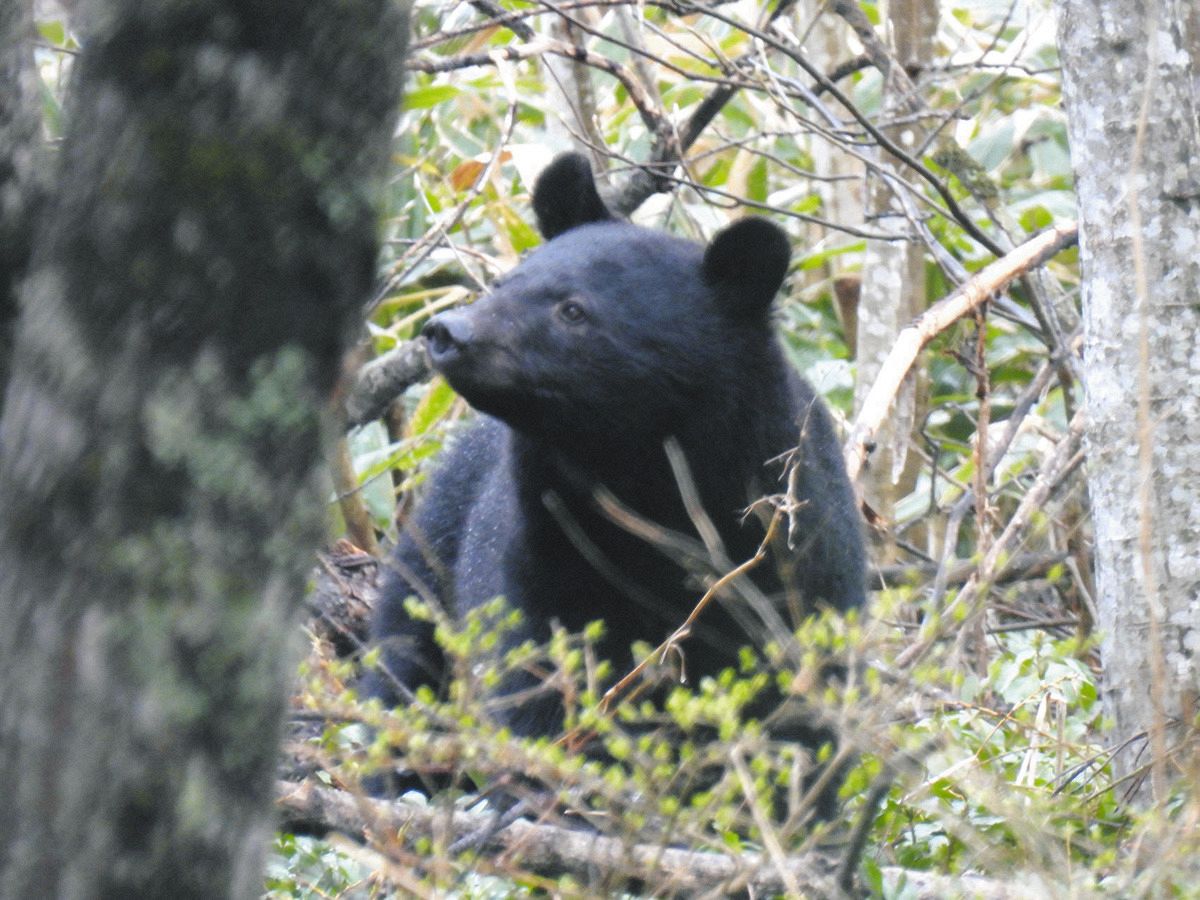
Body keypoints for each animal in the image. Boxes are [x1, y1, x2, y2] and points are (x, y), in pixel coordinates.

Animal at [369, 152, 866, 781]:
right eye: (505, 283)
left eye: (573, 310)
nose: (447, 332)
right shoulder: (540, 563)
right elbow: (541, 684)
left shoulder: (799, 567)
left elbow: (798, 723)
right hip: (435, 543)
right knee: (403, 653)